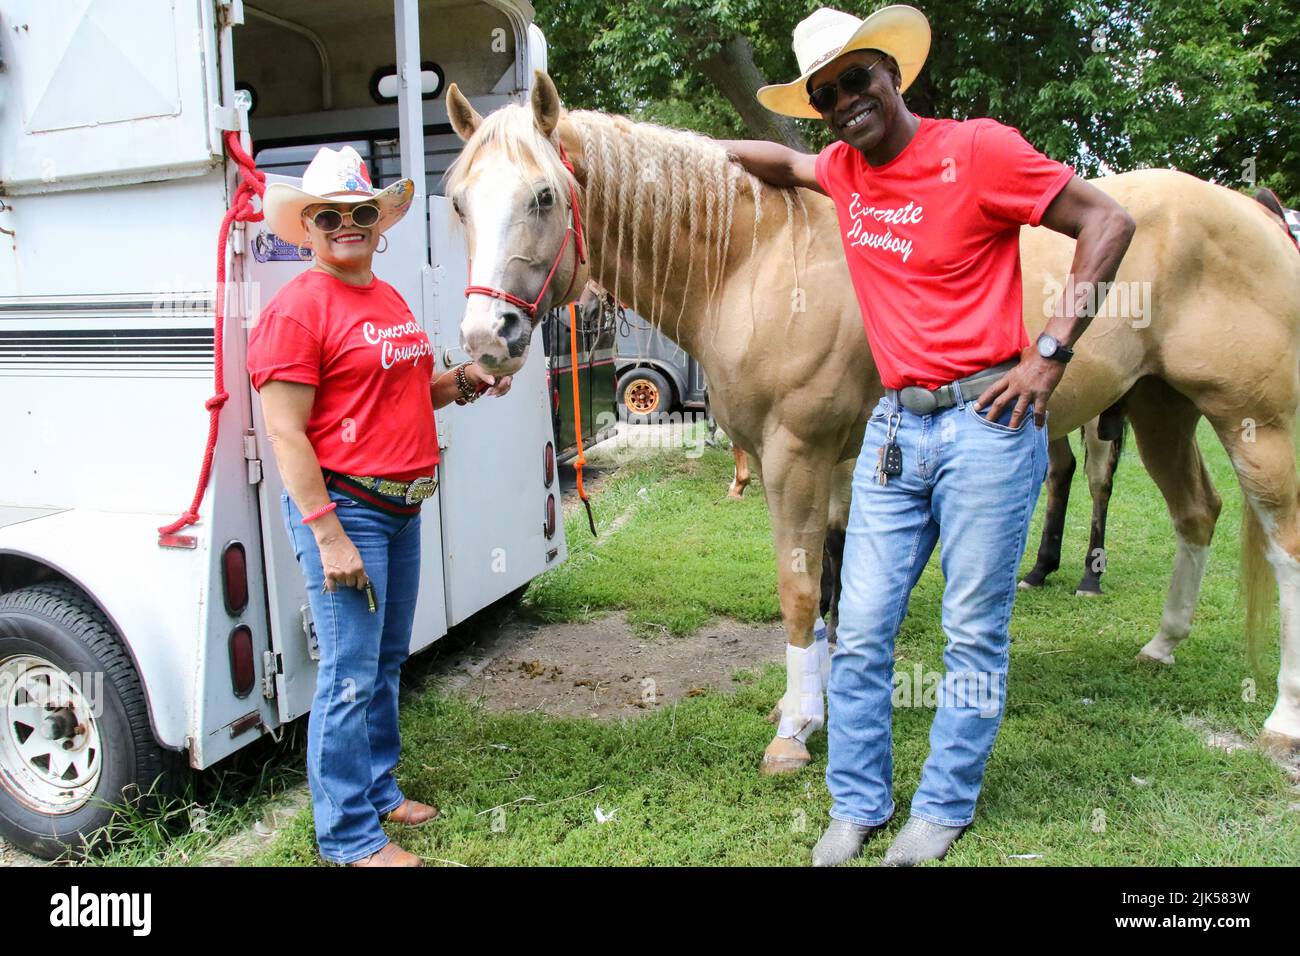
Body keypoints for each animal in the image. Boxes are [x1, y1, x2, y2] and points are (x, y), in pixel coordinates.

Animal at [444, 71, 1300, 773]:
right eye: (457, 202)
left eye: (543, 197)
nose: (488, 339)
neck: (758, 259)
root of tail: (1258, 216)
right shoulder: (832, 463)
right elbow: (832, 587)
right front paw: (813, 706)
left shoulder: (796, 455)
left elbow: (799, 591)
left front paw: (792, 736)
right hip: (1163, 408)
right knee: (1198, 513)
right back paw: (1162, 644)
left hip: (1255, 423)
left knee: (1284, 548)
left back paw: (1282, 721)